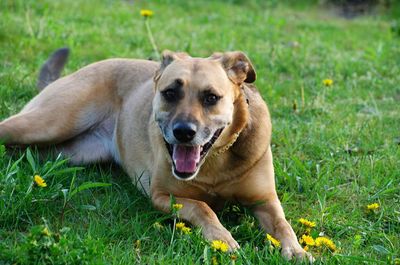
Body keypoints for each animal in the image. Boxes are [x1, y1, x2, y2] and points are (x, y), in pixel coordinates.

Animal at [0, 48, 312, 260]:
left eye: (211, 97)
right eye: (169, 93)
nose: (183, 132)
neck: (214, 162)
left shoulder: (265, 199)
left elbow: (283, 224)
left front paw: (296, 251)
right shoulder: (163, 196)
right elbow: (203, 207)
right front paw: (222, 237)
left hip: (66, 152)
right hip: (48, 122)